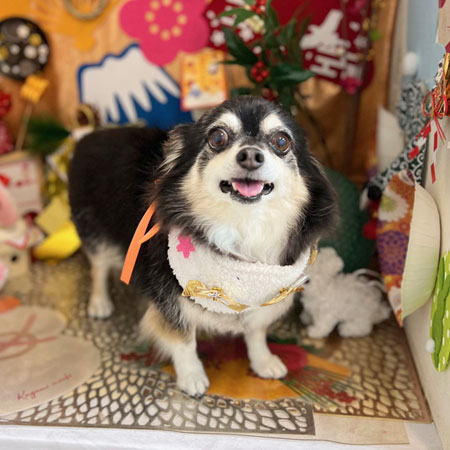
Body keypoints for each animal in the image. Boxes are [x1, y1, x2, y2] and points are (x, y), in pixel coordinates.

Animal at [69, 96, 336, 397]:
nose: (250, 155)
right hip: (95, 232)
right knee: (98, 268)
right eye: (217, 137)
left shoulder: (259, 298)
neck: (241, 231)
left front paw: (263, 360)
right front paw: (192, 375)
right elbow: (183, 339)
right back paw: (100, 302)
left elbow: (256, 332)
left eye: (281, 141)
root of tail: (90, 136)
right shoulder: (169, 300)